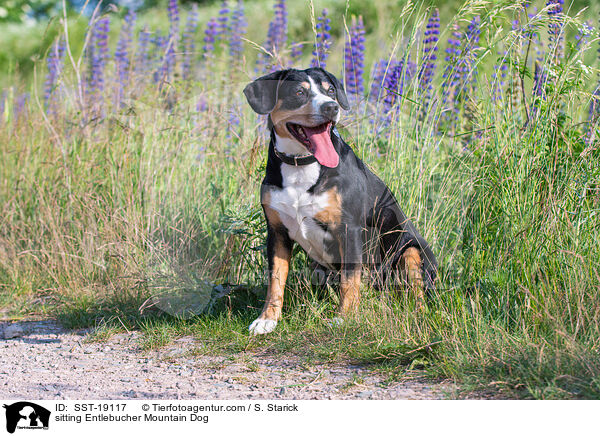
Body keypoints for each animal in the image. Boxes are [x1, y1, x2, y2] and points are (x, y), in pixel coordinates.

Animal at [243, 67, 436, 334]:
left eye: (331, 90)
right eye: (299, 92)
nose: (331, 107)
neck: (301, 166)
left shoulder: (349, 229)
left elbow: (350, 278)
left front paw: (345, 317)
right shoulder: (277, 232)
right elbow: (275, 280)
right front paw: (267, 319)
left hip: (411, 252)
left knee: (416, 294)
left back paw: (417, 316)